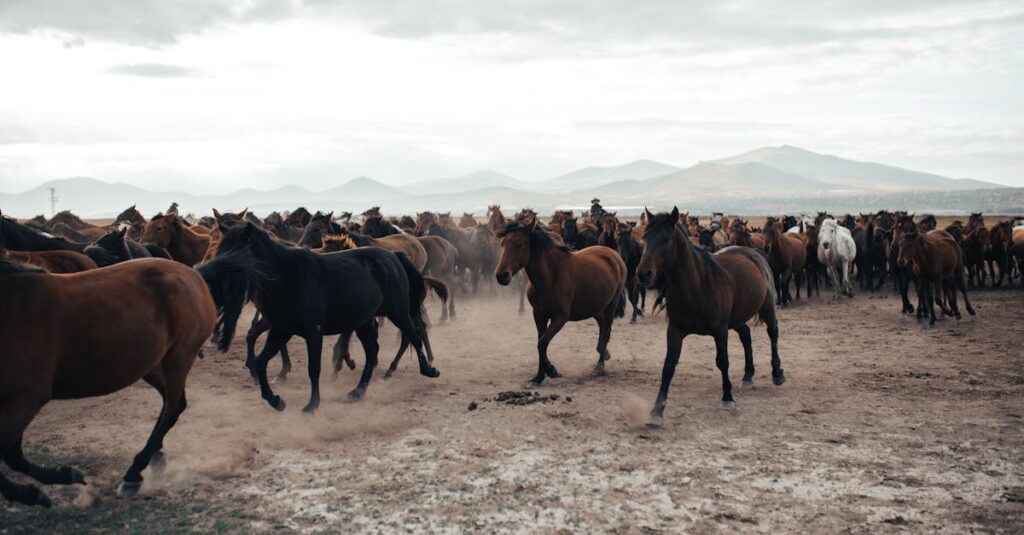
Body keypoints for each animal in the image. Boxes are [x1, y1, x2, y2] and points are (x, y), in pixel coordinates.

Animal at [0, 254, 215, 505]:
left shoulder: (24, 401)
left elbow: (10, 455)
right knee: (172, 404)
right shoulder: (16, 403)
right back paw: (155, 459)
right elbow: (14, 455)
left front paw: (39, 490)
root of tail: (194, 275)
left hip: (179, 358)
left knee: (172, 409)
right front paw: (58, 479)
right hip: (151, 364)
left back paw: (134, 474)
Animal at [495, 217, 626, 387]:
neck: (550, 276)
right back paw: (604, 355)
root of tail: (614, 254)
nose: (501, 275)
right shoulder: (539, 315)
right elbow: (540, 343)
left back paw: (600, 366)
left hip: (611, 306)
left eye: (521, 243)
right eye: (503, 243)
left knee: (607, 332)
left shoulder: (560, 318)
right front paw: (538, 377)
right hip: (596, 308)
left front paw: (552, 371)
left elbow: (542, 342)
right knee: (602, 328)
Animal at [636, 208, 784, 427]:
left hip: (766, 307)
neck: (696, 285)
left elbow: (722, 361)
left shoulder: (720, 330)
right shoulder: (675, 331)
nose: (643, 274)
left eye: (666, 238)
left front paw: (727, 398)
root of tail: (754, 253)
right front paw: (656, 411)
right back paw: (748, 376)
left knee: (772, 332)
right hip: (737, 319)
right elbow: (668, 366)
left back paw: (777, 373)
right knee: (746, 336)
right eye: (645, 237)